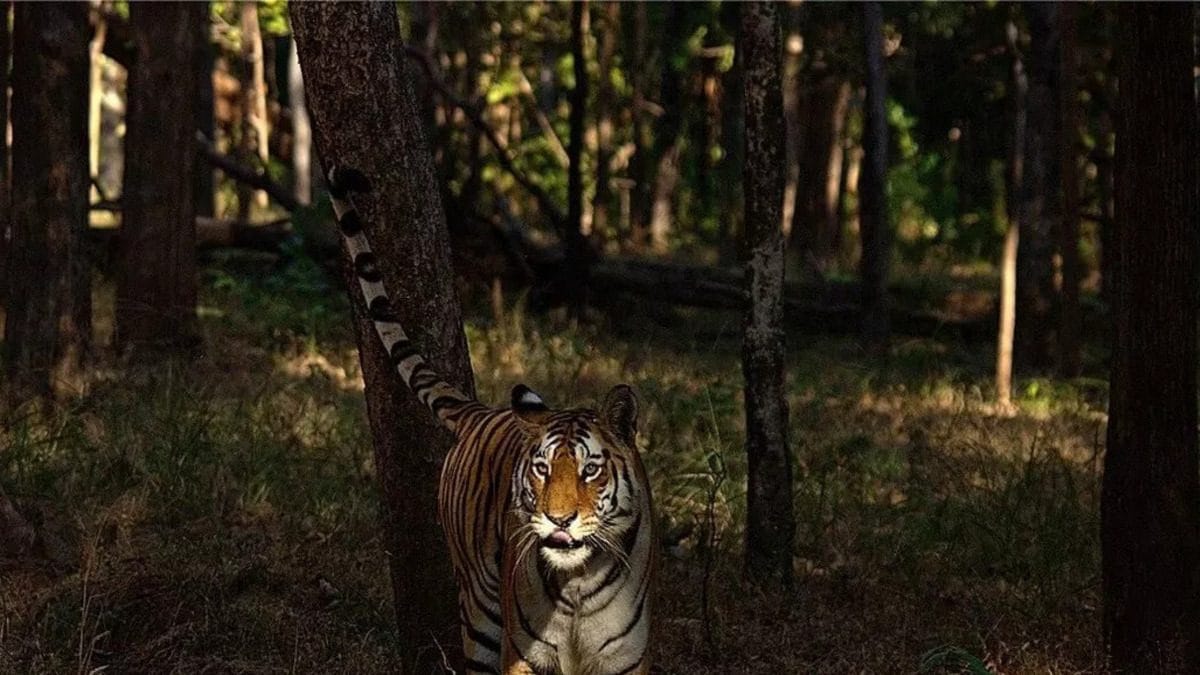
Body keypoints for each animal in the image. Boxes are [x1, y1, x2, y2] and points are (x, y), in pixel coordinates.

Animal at [327, 167, 655, 675]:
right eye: (542, 469)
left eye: (590, 470)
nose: (558, 519)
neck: (579, 581)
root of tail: (482, 412)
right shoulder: (524, 654)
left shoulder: (625, 661)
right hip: (480, 606)